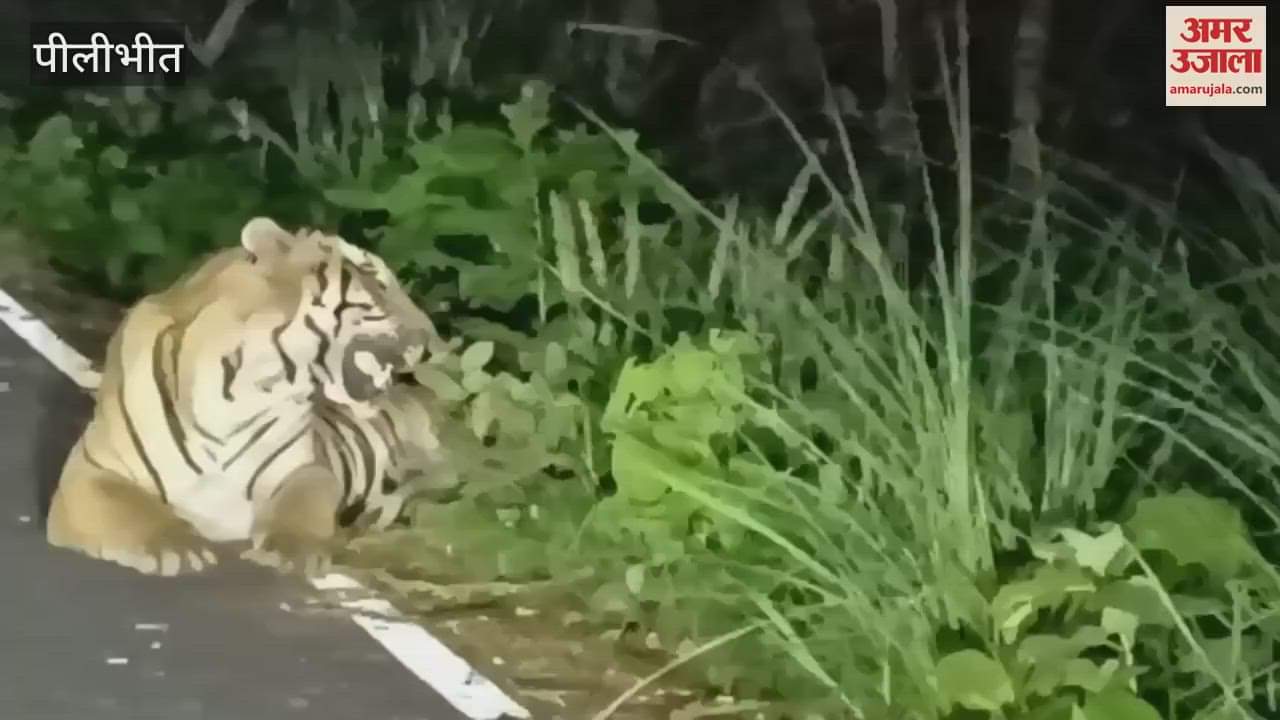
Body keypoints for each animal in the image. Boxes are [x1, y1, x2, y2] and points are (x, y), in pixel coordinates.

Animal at [45, 216, 446, 577]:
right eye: (376, 281)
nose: (434, 341)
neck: (242, 390)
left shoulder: (309, 469)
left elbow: (307, 500)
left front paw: (290, 551)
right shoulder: (91, 467)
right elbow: (126, 504)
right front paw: (173, 547)